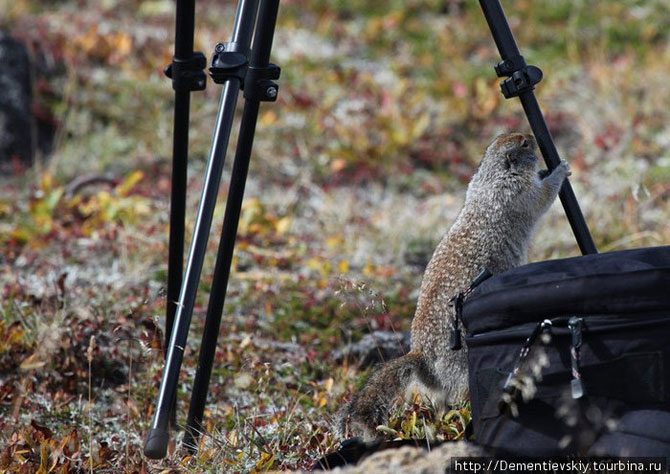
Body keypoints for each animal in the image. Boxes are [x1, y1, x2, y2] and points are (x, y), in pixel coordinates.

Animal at [338, 131, 576, 438]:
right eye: (524, 143)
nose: (531, 135)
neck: (492, 173)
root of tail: (421, 359)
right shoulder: (518, 191)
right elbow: (542, 196)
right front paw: (560, 169)